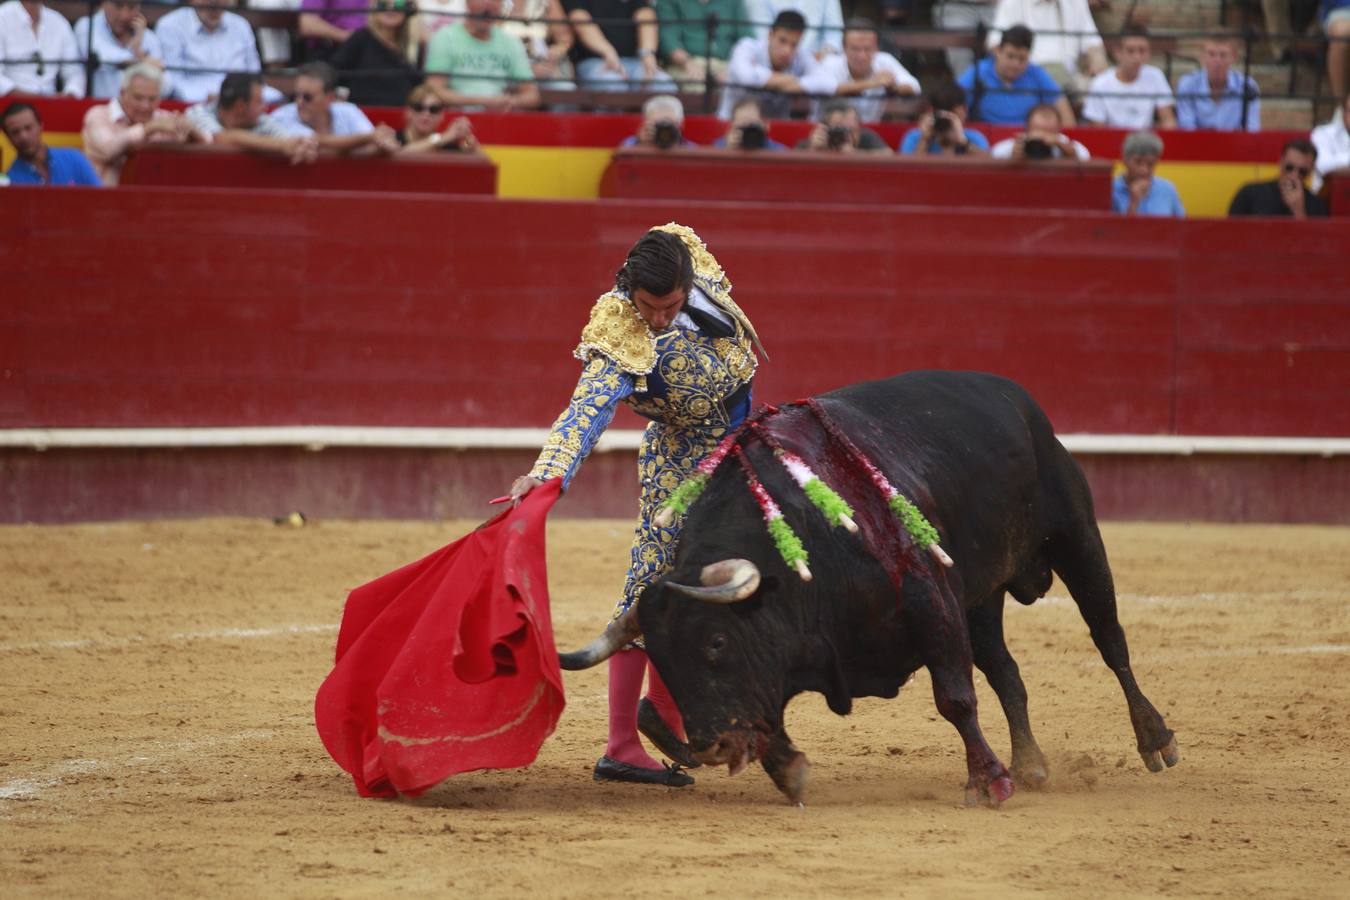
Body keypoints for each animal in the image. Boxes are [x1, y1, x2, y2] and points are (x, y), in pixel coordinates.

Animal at [558, 369, 1171, 804]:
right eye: (660, 659)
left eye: (716, 642)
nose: (709, 744)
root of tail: (1011, 395)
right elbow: (768, 712)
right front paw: (791, 772)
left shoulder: (930, 598)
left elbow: (955, 697)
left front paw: (988, 783)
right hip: (980, 597)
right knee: (1008, 672)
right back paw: (1032, 764)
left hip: (1076, 538)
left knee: (1110, 641)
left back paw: (1154, 741)